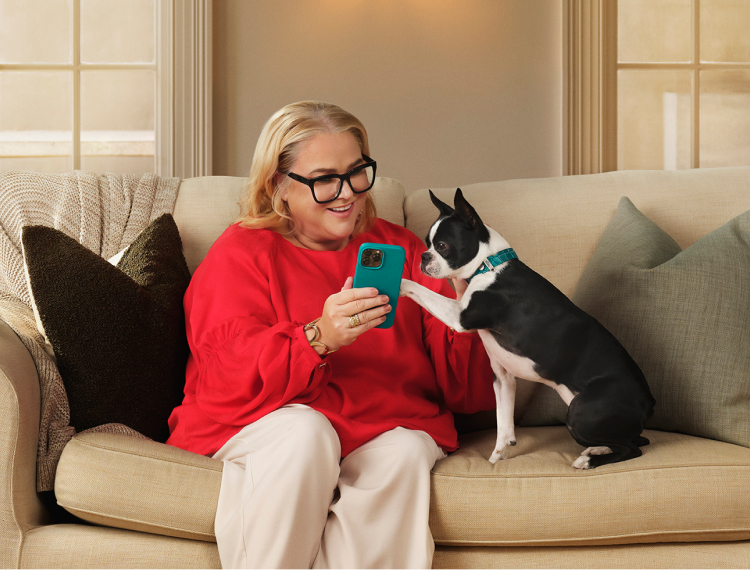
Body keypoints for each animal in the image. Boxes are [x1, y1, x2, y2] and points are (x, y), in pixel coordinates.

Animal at [402, 189, 656, 468]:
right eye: (427, 243)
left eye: (442, 246)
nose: (424, 257)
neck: (489, 265)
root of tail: (649, 402)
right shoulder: (503, 378)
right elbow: (503, 423)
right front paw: (497, 456)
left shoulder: (461, 317)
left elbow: (416, 287)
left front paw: (396, 281)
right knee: (635, 439)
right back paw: (596, 449)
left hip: (580, 414)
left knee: (633, 448)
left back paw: (590, 460)